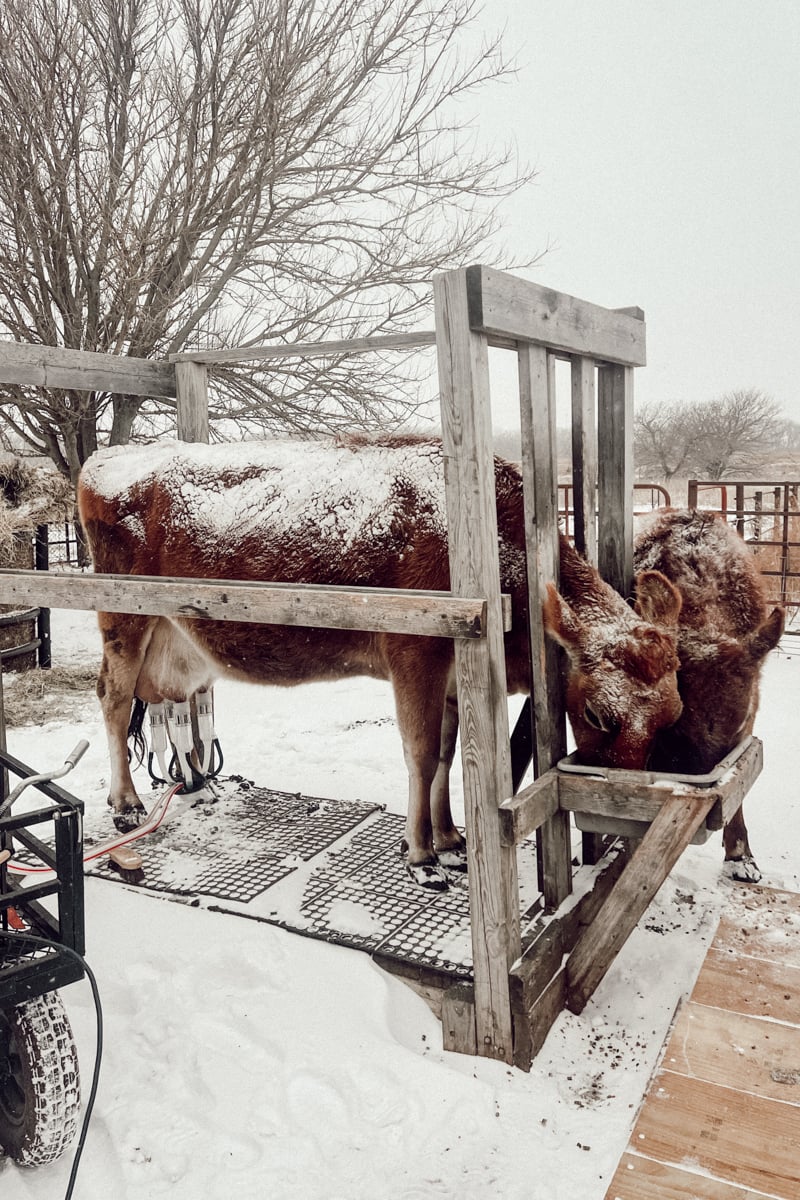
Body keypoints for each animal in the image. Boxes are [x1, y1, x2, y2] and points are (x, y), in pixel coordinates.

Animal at [77, 434, 684, 890]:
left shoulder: (451, 673)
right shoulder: (414, 651)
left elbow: (446, 753)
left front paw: (450, 839)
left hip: (176, 640)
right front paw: (422, 856)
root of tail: (107, 457)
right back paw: (125, 802)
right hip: (123, 617)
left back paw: (198, 784)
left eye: (673, 716)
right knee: (113, 698)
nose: (621, 823)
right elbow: (420, 754)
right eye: (601, 716)